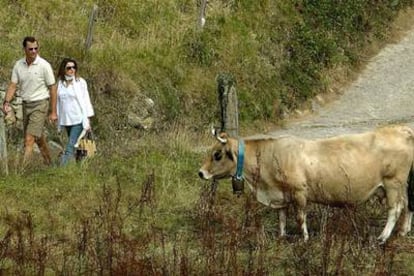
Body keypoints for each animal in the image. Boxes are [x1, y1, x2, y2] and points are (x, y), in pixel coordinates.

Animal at [197, 125, 414, 244]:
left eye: (217, 154)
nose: (201, 172)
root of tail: (401, 129)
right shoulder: (281, 195)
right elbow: (282, 217)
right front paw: (282, 236)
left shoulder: (299, 192)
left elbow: (300, 217)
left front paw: (305, 239)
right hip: (402, 185)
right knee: (408, 206)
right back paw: (403, 231)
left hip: (393, 183)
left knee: (395, 209)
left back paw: (383, 237)